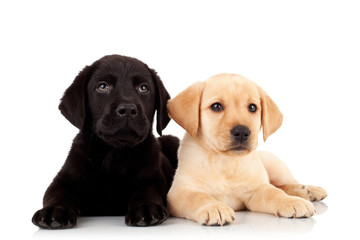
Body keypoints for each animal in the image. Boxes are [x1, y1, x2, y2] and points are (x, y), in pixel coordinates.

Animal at [31, 54, 179, 229]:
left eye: (143, 88)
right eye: (102, 86)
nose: (128, 109)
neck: (114, 154)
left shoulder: (152, 178)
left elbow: (147, 190)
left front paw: (146, 208)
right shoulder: (62, 180)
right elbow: (58, 193)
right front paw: (54, 210)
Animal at [167, 73, 328, 225]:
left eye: (252, 107)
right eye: (216, 106)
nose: (242, 131)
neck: (225, 161)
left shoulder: (257, 189)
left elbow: (274, 192)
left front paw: (291, 201)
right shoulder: (179, 193)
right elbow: (199, 197)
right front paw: (214, 207)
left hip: (274, 163)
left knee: (284, 184)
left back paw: (308, 190)